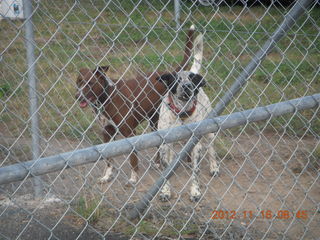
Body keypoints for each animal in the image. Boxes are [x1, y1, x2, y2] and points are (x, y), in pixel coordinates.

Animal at [75, 25, 196, 184]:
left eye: (90, 83)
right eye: (79, 82)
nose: (77, 97)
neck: (107, 96)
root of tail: (170, 74)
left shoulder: (130, 133)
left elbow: (132, 158)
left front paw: (133, 178)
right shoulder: (107, 132)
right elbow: (108, 159)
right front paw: (107, 176)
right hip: (154, 120)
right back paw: (158, 162)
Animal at [156, 32, 220, 202]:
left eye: (192, 79)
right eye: (176, 79)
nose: (187, 86)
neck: (182, 113)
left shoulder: (196, 144)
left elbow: (196, 172)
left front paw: (195, 191)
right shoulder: (165, 145)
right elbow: (165, 171)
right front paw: (165, 191)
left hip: (209, 134)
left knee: (211, 151)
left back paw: (214, 167)